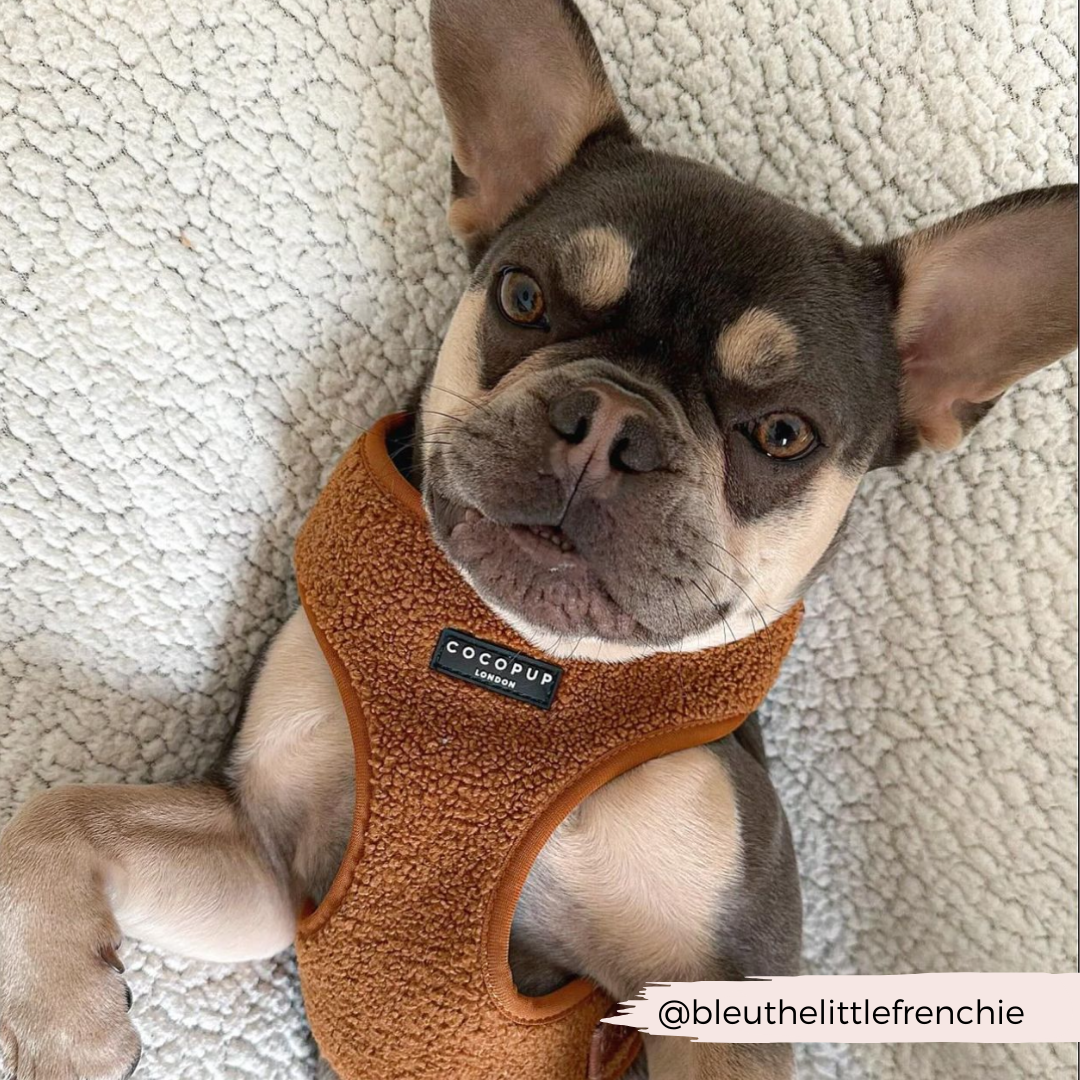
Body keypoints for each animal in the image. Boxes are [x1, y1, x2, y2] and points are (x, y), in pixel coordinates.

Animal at [0, 0, 1075, 1075]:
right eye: (522, 298)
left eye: (782, 435)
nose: (610, 425)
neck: (525, 669)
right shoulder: (264, 854)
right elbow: (56, 815)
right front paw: (57, 1015)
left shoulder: (720, 1003)